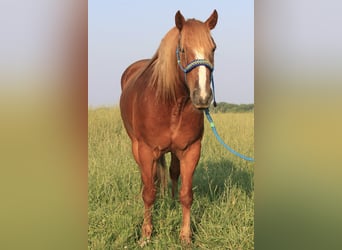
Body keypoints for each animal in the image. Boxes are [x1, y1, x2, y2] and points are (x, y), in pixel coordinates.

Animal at [119, 10, 218, 244]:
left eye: (213, 48)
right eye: (182, 49)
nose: (202, 97)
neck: (172, 104)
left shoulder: (191, 150)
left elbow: (186, 194)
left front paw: (185, 236)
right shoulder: (146, 151)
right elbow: (148, 193)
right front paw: (146, 235)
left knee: (172, 172)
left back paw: (170, 201)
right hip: (136, 147)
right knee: (149, 179)